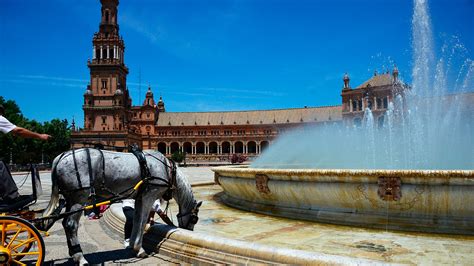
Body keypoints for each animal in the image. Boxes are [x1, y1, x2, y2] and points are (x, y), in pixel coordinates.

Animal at [41, 149, 202, 264]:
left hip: (69, 199)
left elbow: (136, 220)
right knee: (71, 224)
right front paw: (139, 248)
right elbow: (142, 221)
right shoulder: (149, 196)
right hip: (79, 198)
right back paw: (80, 258)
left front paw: (133, 246)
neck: (168, 170)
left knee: (64, 222)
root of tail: (60, 156)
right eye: (194, 219)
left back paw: (73, 253)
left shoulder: (139, 198)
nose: (189, 230)